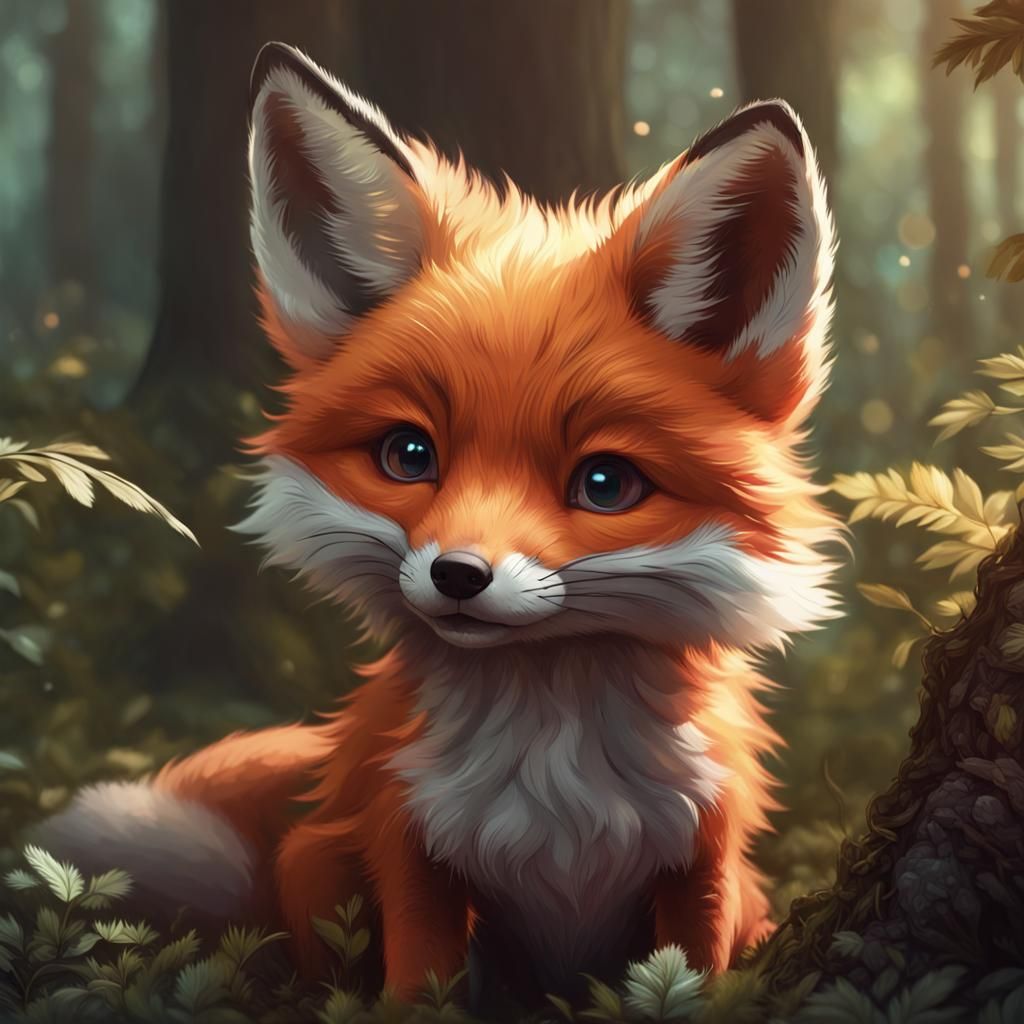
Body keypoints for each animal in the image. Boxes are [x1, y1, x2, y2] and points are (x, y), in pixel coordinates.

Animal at [32, 42, 843, 1008]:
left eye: (605, 483)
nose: (457, 575)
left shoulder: (705, 854)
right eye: (408, 455)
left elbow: (690, 978)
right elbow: (420, 983)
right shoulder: (411, 841)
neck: (551, 775)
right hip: (318, 865)